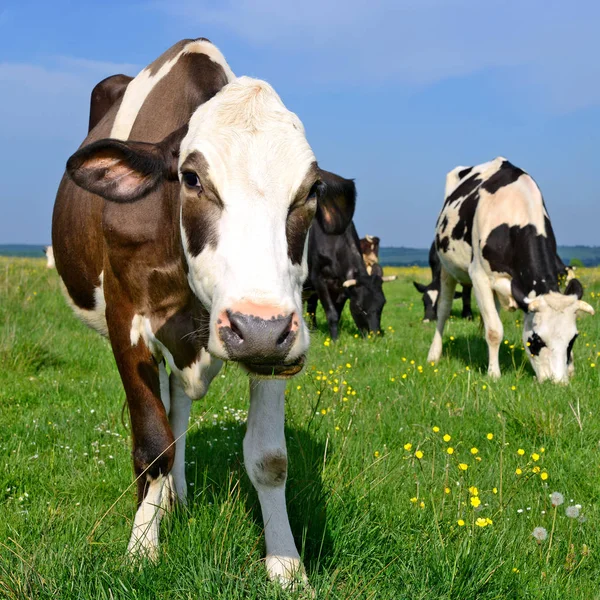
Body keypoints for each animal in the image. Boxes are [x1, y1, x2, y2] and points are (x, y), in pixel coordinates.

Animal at [51, 38, 354, 592]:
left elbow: (270, 458)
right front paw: (141, 548)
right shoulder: (126, 322)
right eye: (191, 178)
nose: (256, 329)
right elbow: (153, 444)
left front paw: (286, 566)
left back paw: (177, 497)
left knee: (179, 409)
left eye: (310, 191)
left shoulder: (277, 338)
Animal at [304, 175, 394, 342]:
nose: (374, 336)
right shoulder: (318, 278)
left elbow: (337, 313)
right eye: (359, 307)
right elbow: (331, 312)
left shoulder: (342, 288)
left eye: (382, 304)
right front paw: (334, 341)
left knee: (311, 307)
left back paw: (313, 329)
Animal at [426, 158, 596, 384]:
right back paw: (433, 355)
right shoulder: (479, 276)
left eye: (573, 339)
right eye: (536, 340)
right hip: (446, 267)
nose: (557, 384)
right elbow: (494, 331)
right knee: (444, 310)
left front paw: (570, 369)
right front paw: (493, 374)